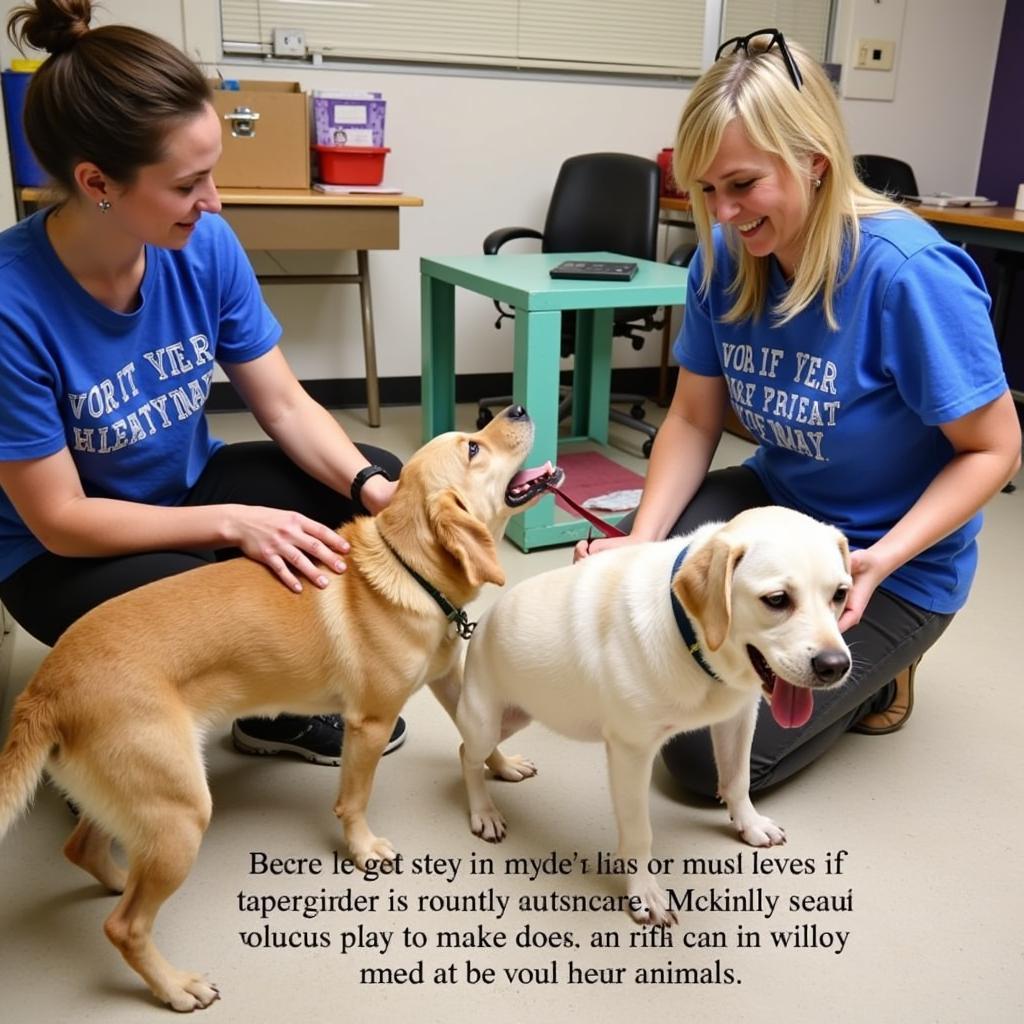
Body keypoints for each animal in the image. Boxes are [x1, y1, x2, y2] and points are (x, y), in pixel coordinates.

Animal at [0, 403, 561, 1011]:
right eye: (472, 448)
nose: (514, 407)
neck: (408, 568)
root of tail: (45, 687)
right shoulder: (369, 724)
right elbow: (354, 801)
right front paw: (362, 849)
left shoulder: (448, 681)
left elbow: (483, 732)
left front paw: (501, 767)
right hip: (179, 812)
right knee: (124, 927)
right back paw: (175, 986)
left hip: (141, 800)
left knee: (82, 850)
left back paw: (118, 879)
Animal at [458, 507, 856, 925]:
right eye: (777, 599)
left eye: (840, 594)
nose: (835, 666)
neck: (692, 638)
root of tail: (481, 625)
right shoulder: (631, 752)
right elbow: (638, 834)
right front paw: (643, 894)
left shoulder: (738, 718)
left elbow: (737, 780)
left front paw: (749, 825)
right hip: (485, 721)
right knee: (466, 755)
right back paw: (484, 811)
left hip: (517, 717)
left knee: (476, 750)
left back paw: (506, 766)